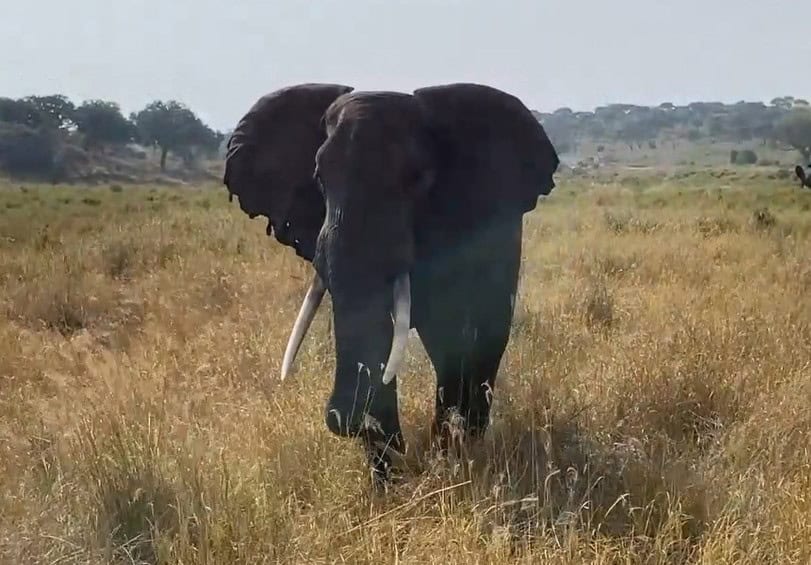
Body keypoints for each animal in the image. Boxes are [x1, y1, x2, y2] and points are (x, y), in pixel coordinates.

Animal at [223, 82, 560, 482]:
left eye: (417, 179)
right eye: (318, 178)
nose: (343, 420)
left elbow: (459, 338)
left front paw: (447, 463)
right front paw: (390, 476)